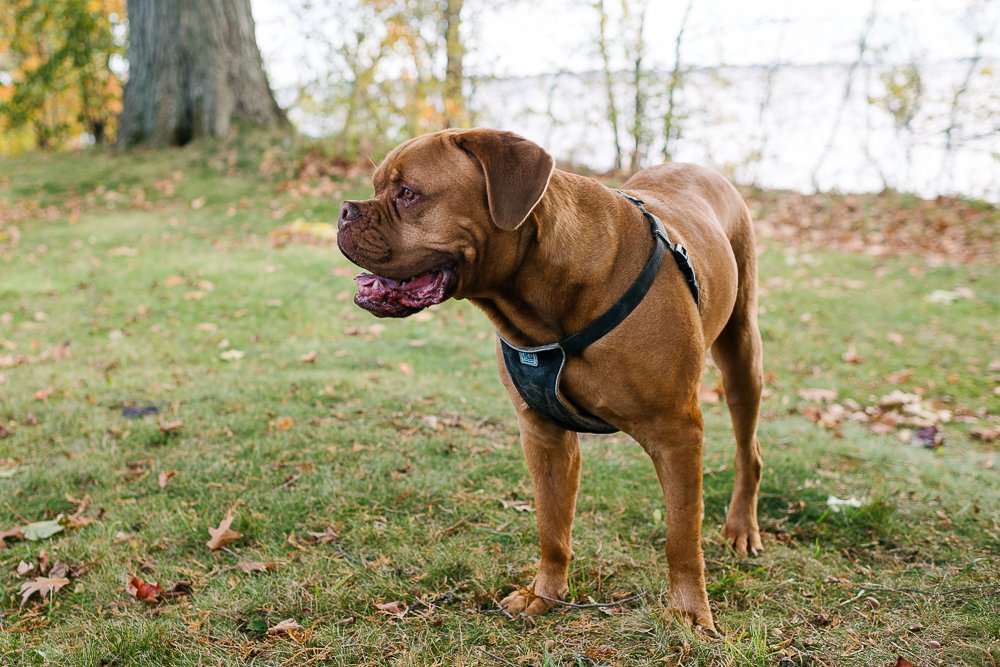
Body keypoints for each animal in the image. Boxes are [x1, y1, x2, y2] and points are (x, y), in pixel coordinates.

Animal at [336, 126, 764, 632]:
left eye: (408, 194)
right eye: (377, 186)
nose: (344, 210)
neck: (538, 297)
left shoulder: (676, 432)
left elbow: (681, 534)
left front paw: (689, 613)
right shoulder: (543, 434)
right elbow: (551, 524)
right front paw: (545, 594)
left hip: (742, 352)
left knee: (748, 450)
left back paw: (741, 528)